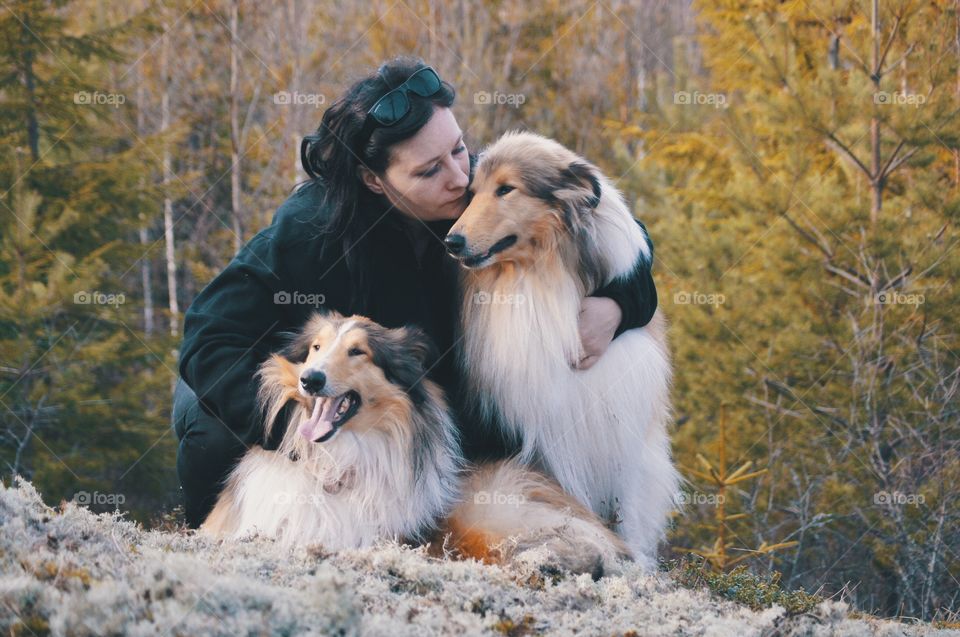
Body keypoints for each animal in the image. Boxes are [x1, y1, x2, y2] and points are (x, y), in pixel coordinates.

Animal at [444, 129, 680, 568]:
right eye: (471, 193)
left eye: (506, 189)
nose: (452, 241)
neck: (542, 273)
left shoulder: (623, 433)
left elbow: (629, 511)